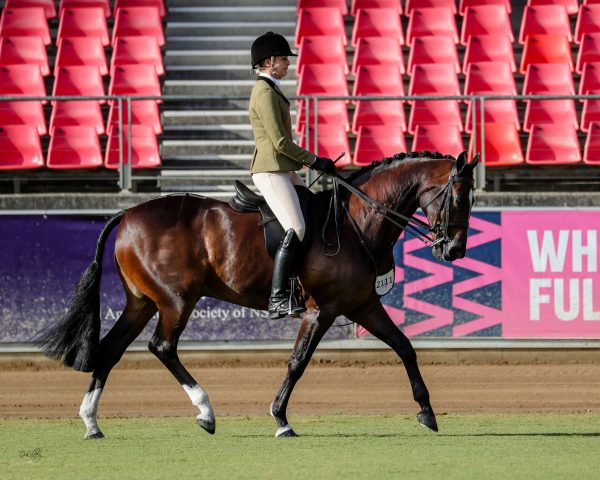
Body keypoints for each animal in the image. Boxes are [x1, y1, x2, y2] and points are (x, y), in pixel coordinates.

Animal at [36, 150, 478, 438]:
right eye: (458, 197)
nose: (454, 251)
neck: (357, 221)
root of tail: (127, 213)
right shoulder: (322, 310)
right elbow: (297, 362)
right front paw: (280, 418)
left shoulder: (363, 305)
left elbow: (405, 347)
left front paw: (427, 413)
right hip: (176, 301)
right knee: (162, 347)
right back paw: (205, 412)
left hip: (142, 302)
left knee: (110, 350)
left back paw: (92, 422)